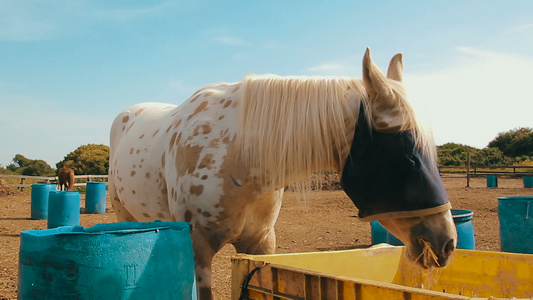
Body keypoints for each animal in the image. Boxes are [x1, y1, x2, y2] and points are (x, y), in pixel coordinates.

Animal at [109, 48, 458, 298]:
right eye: (407, 157)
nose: (447, 243)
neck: (240, 157)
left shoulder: (260, 245)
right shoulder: (199, 249)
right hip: (125, 217)